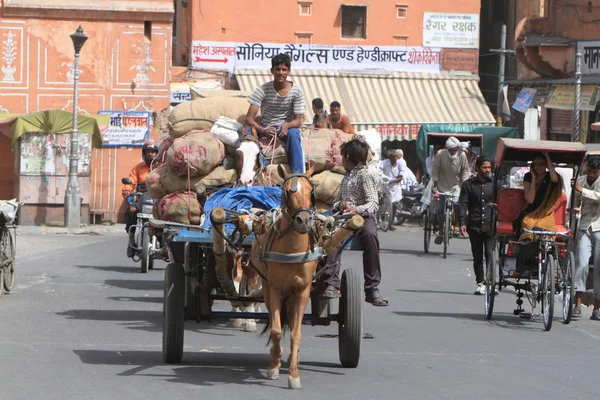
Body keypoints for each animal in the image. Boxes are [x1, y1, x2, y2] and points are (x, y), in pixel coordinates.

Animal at [251, 164, 318, 390]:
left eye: (311, 191)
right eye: (287, 192)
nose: (303, 221)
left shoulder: (302, 292)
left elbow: (296, 333)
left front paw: (294, 375)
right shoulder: (275, 289)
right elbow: (276, 330)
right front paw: (274, 365)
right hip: (267, 289)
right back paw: (278, 356)